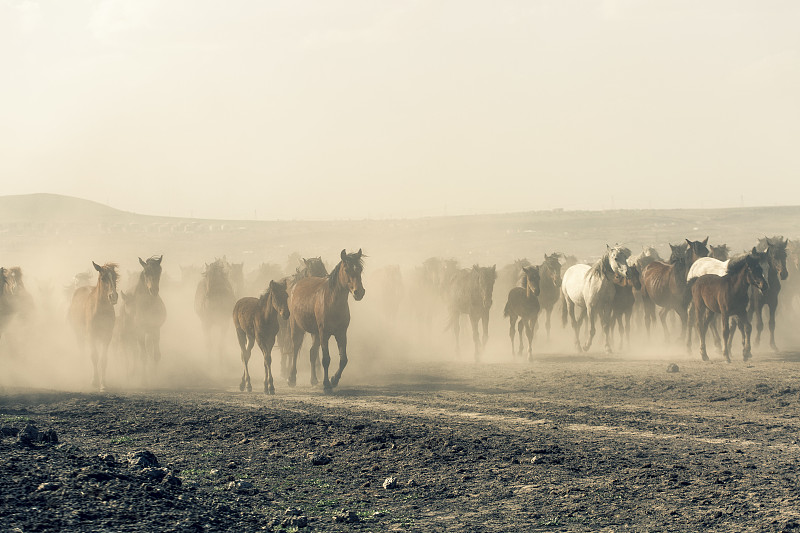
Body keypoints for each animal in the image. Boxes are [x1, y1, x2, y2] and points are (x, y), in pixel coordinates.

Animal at [67, 262, 118, 390]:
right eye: (103, 278)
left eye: (115, 277)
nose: (113, 296)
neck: (100, 309)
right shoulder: (91, 335)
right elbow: (94, 356)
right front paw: (94, 381)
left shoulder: (107, 336)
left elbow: (103, 359)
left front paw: (103, 384)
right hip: (79, 335)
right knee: (81, 351)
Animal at [288, 248, 366, 390]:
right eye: (346, 269)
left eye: (360, 269)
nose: (359, 292)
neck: (331, 300)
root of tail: (296, 285)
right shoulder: (324, 333)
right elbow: (326, 359)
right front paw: (326, 384)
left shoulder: (341, 333)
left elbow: (343, 359)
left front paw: (334, 379)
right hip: (296, 328)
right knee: (295, 349)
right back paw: (291, 378)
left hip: (315, 333)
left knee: (312, 353)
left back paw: (313, 379)